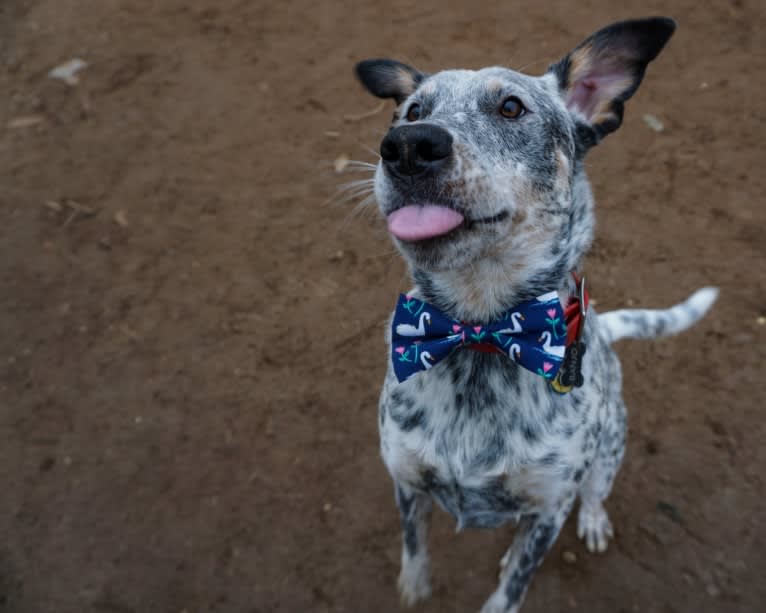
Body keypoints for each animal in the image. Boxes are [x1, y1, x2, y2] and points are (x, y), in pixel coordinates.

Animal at [356, 16, 720, 608]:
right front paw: (414, 586)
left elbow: (511, 589)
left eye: (511, 107)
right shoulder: (406, 480)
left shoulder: (549, 508)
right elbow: (414, 544)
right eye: (412, 111)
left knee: (593, 494)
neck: (480, 333)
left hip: (607, 454)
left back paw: (592, 521)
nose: (407, 146)